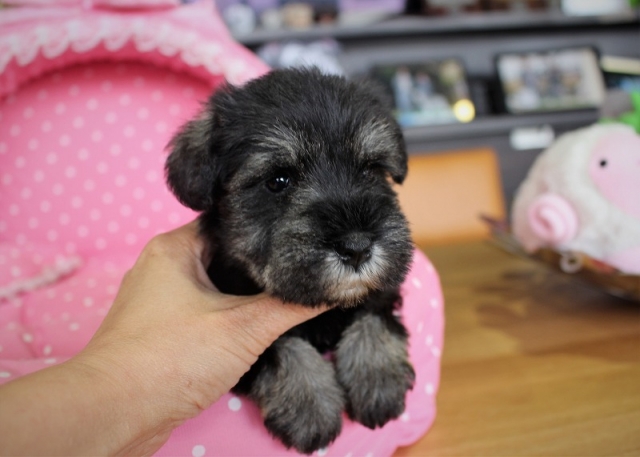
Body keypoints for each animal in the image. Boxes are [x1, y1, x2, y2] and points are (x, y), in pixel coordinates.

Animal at [165, 67, 415, 454]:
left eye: (371, 169)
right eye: (278, 180)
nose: (357, 247)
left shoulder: (383, 290)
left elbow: (374, 316)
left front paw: (378, 380)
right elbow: (281, 348)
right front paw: (309, 408)